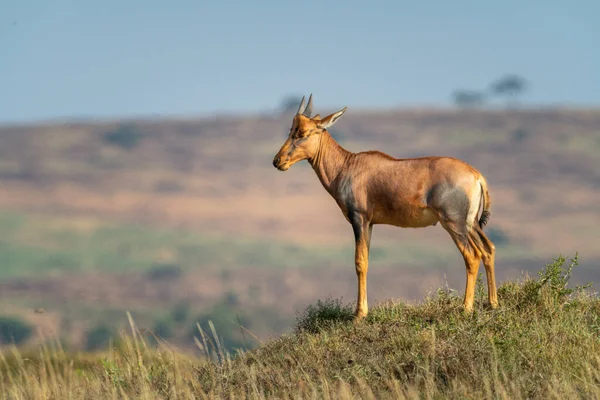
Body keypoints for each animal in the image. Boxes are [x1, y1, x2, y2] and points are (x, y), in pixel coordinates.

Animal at [272, 94, 496, 322]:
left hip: (453, 223)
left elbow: (360, 262)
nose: (277, 161)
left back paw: (466, 308)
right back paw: (492, 304)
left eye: (303, 132)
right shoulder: (370, 223)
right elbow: (367, 261)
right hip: (470, 224)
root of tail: (476, 175)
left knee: (472, 256)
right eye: (290, 129)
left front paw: (359, 315)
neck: (348, 165)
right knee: (488, 250)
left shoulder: (359, 219)